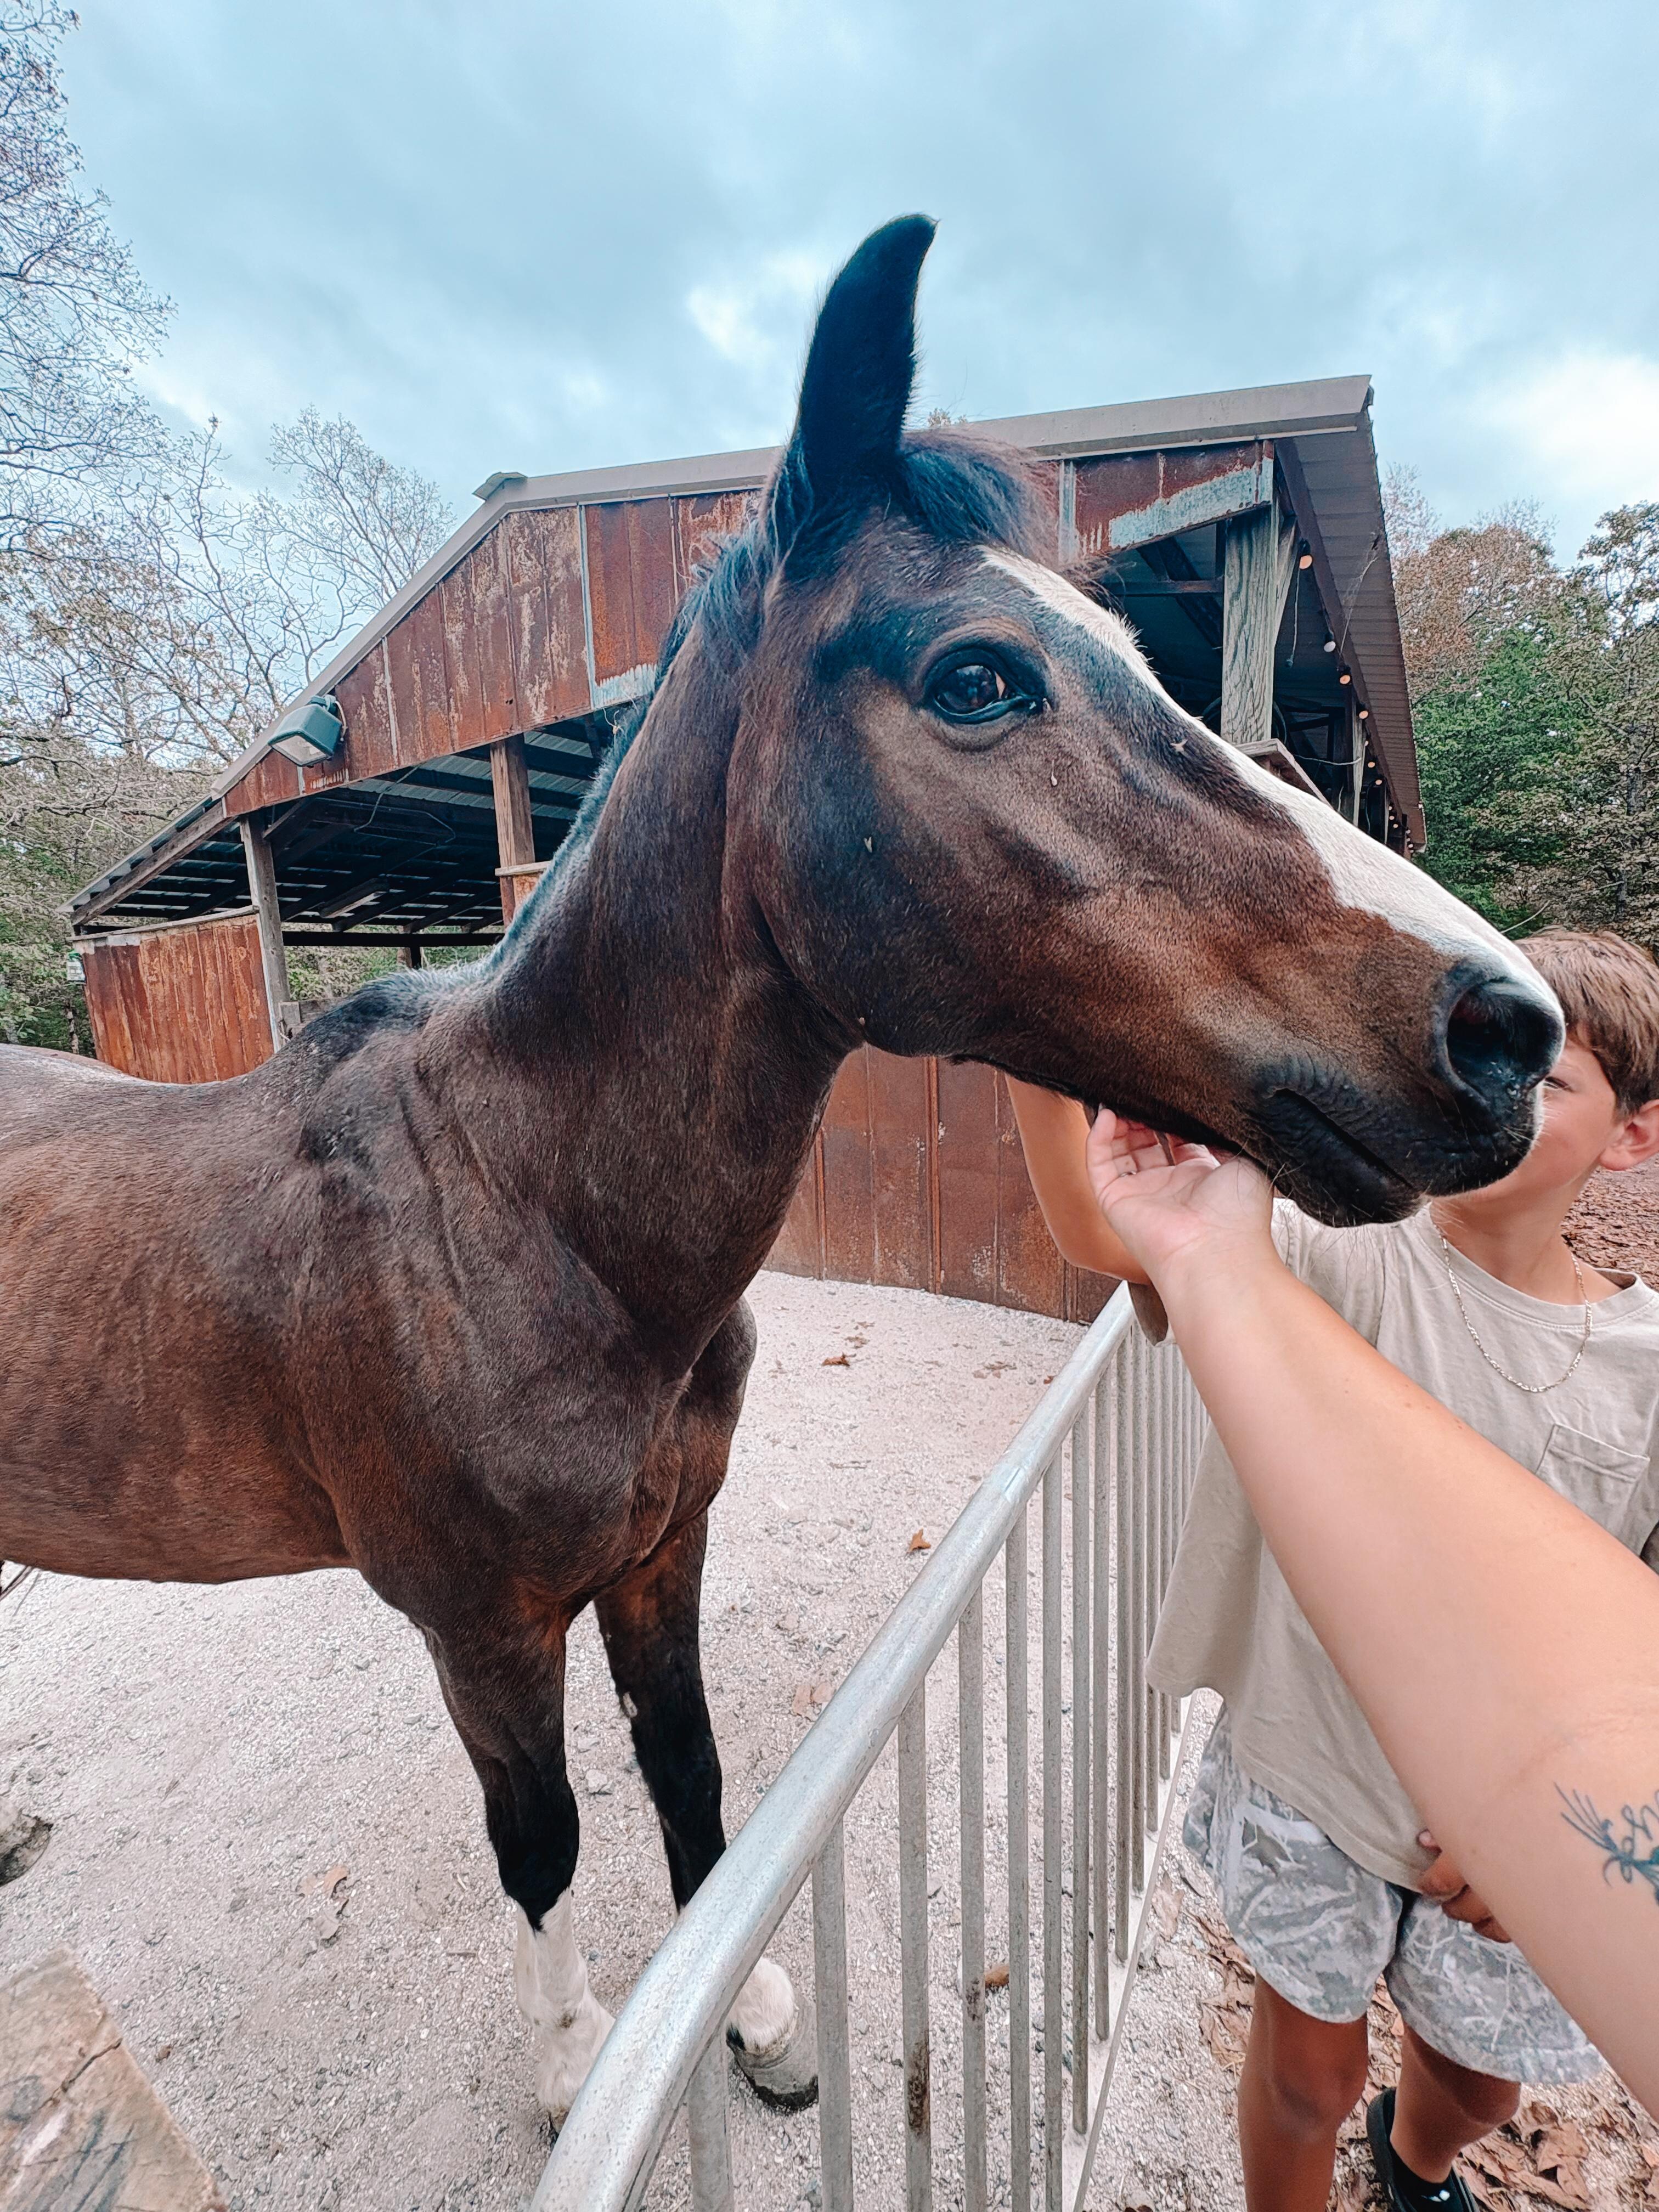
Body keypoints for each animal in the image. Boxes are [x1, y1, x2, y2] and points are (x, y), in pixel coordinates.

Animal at [0, 216, 1560, 2124]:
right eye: (978, 675)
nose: (1507, 1032)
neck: (519, 1217)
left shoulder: (664, 1553)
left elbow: (689, 1778)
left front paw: (735, 2018)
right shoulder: (483, 1631)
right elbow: (545, 1839)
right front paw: (577, 2068)